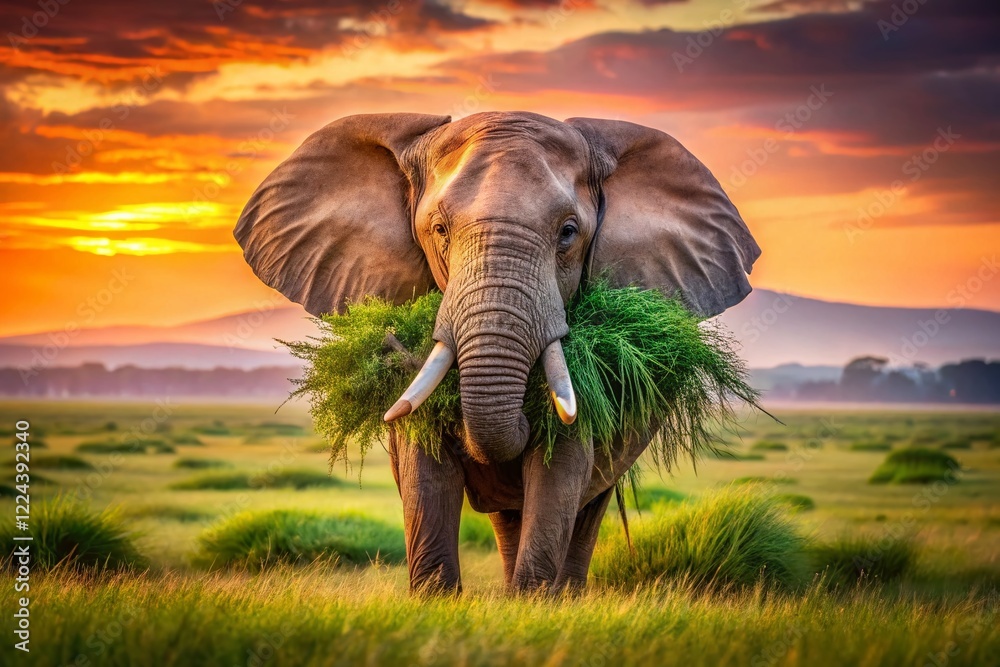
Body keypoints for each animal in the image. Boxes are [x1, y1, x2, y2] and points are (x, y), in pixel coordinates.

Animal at [234, 111, 760, 593]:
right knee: (509, 514)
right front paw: (439, 600)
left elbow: (562, 466)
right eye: (439, 230)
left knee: (587, 507)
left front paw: (532, 605)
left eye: (568, 232)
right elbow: (423, 467)